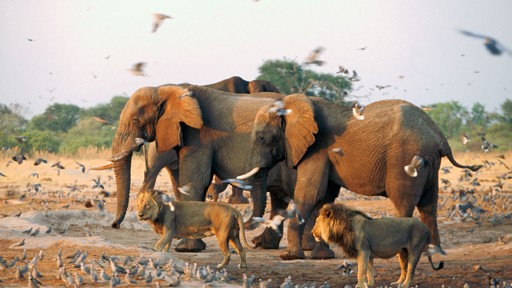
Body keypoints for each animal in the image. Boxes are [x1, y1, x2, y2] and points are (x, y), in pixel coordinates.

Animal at [238, 97, 482, 260]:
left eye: (262, 137)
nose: (253, 244)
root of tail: (439, 135)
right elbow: (324, 197)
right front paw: (322, 256)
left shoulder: (317, 149)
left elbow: (310, 194)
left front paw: (290, 257)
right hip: (430, 165)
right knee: (429, 205)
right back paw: (432, 250)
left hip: (405, 159)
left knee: (404, 202)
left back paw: (404, 251)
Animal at [310, 202, 442, 288]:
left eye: (316, 222)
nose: (312, 232)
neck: (343, 227)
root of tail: (426, 228)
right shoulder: (368, 254)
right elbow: (369, 271)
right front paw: (369, 284)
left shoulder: (363, 251)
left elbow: (361, 271)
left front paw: (359, 285)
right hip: (402, 252)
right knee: (404, 269)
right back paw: (398, 283)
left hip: (415, 250)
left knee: (410, 270)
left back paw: (405, 285)